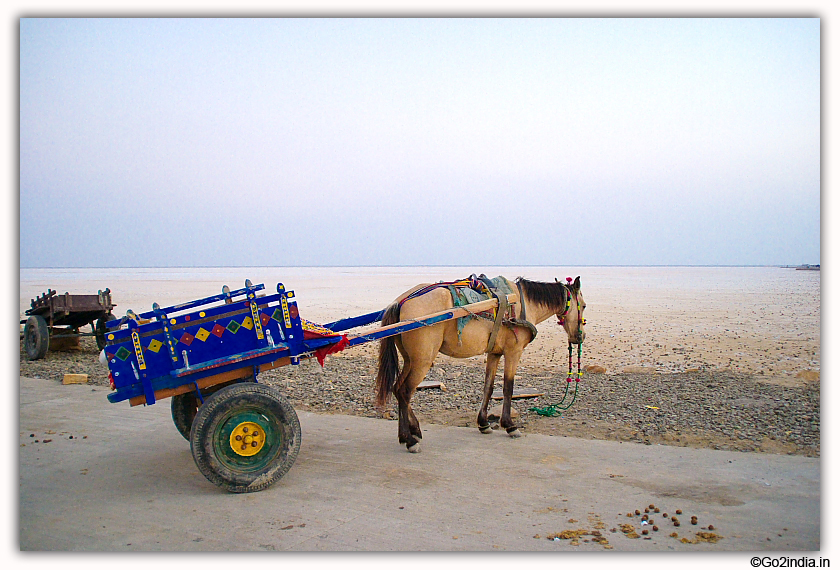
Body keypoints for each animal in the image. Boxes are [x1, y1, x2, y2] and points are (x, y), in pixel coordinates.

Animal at [374, 272, 584, 450]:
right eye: (583, 305)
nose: (580, 337)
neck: (522, 302)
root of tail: (401, 302)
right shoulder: (513, 352)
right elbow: (508, 388)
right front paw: (509, 425)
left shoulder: (494, 353)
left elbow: (488, 387)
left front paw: (483, 423)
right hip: (422, 361)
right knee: (405, 391)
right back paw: (409, 440)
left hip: (411, 359)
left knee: (397, 389)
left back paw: (412, 432)